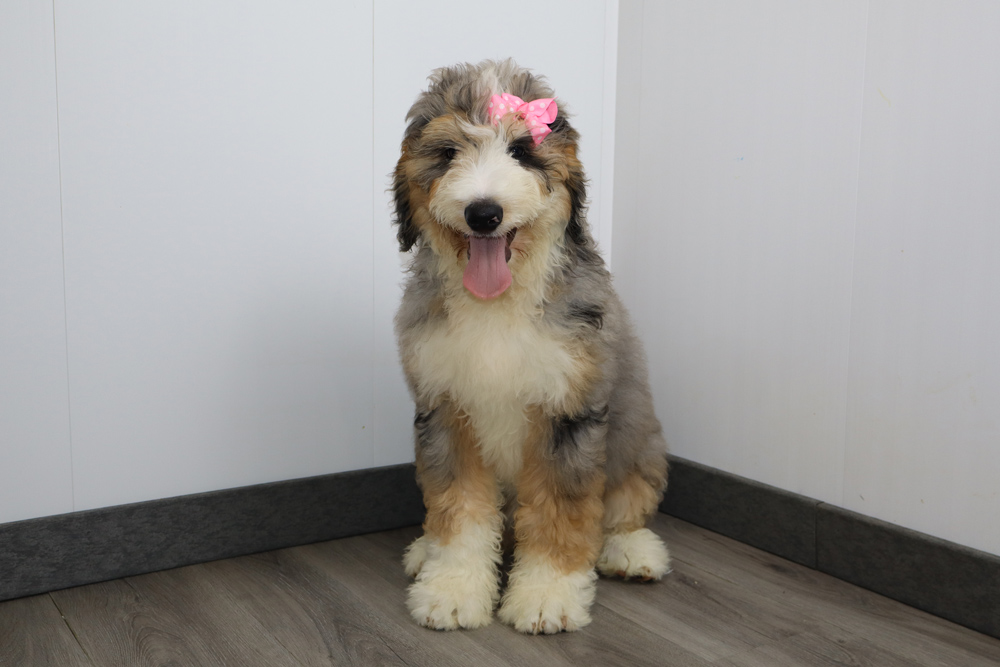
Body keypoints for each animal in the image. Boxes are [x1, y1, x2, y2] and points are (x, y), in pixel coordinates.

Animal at [392, 60, 670, 634]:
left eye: (521, 151)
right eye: (448, 153)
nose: (483, 213)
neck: (499, 302)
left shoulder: (569, 413)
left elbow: (560, 513)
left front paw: (546, 595)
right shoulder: (445, 409)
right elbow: (460, 511)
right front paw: (452, 586)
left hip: (639, 439)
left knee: (625, 505)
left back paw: (632, 552)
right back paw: (424, 551)